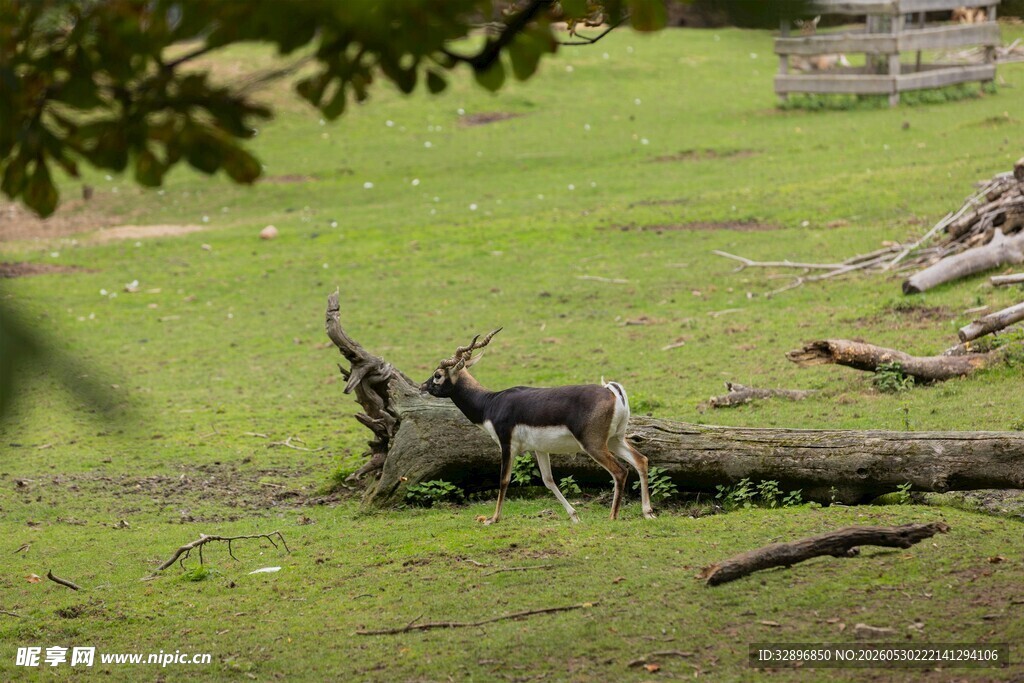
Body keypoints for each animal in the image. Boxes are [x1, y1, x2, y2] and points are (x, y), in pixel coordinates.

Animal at [421, 328, 655, 524]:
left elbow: (504, 479)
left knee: (620, 471)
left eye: (438, 375)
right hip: (615, 439)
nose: (423, 386)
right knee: (641, 460)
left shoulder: (507, 444)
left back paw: (613, 516)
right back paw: (648, 512)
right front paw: (574, 516)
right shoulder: (540, 449)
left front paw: (493, 519)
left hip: (594, 445)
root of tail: (611, 392)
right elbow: (548, 480)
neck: (490, 403)